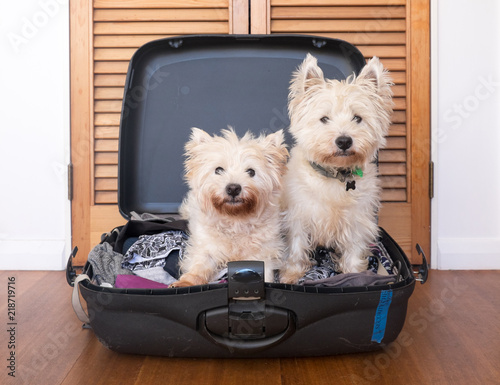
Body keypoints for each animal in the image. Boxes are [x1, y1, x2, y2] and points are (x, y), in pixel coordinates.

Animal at [173, 127, 288, 286]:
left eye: (251, 171)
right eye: (218, 170)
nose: (233, 188)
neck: (235, 218)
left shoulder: (264, 253)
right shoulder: (206, 248)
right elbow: (198, 267)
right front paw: (186, 283)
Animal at [280, 53, 392, 282]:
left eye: (358, 118)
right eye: (324, 118)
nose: (344, 141)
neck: (334, 176)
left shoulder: (357, 220)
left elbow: (354, 250)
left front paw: (355, 274)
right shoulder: (298, 216)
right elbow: (296, 247)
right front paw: (291, 275)